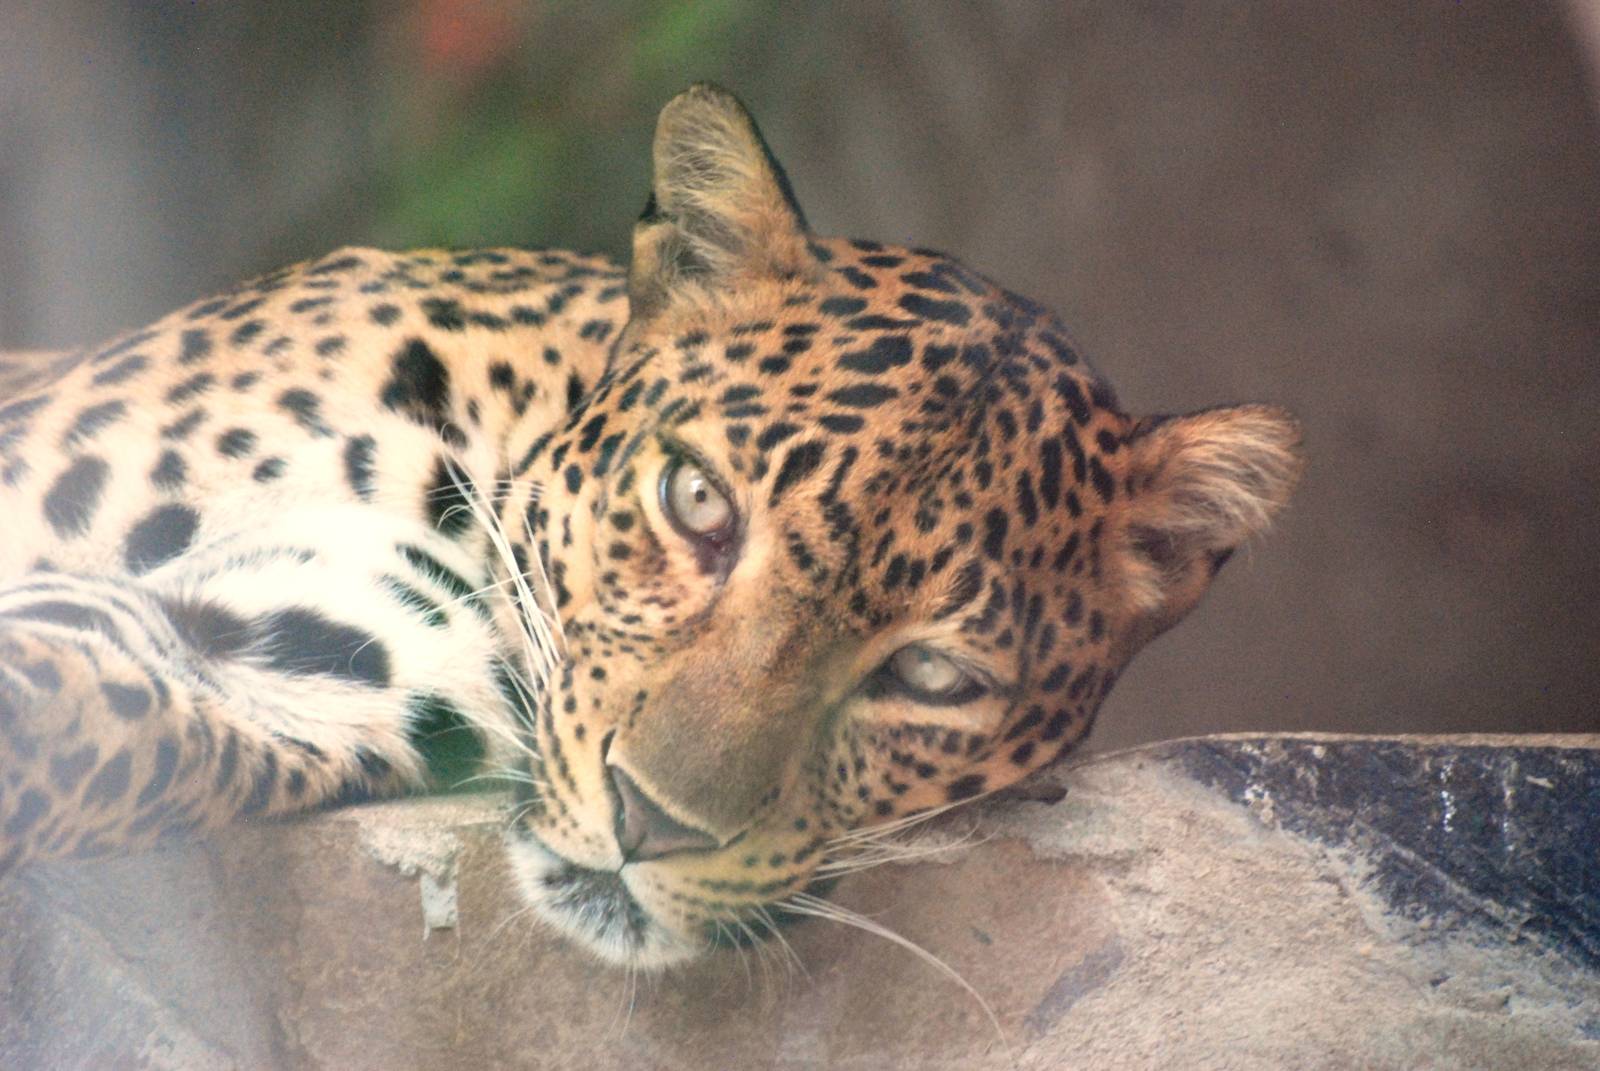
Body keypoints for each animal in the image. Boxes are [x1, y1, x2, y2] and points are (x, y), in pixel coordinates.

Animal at [0, 84, 1303, 968]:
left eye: (931, 677)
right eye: (697, 504)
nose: (652, 827)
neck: (471, 465)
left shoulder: (295, 653)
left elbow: (91, 735)